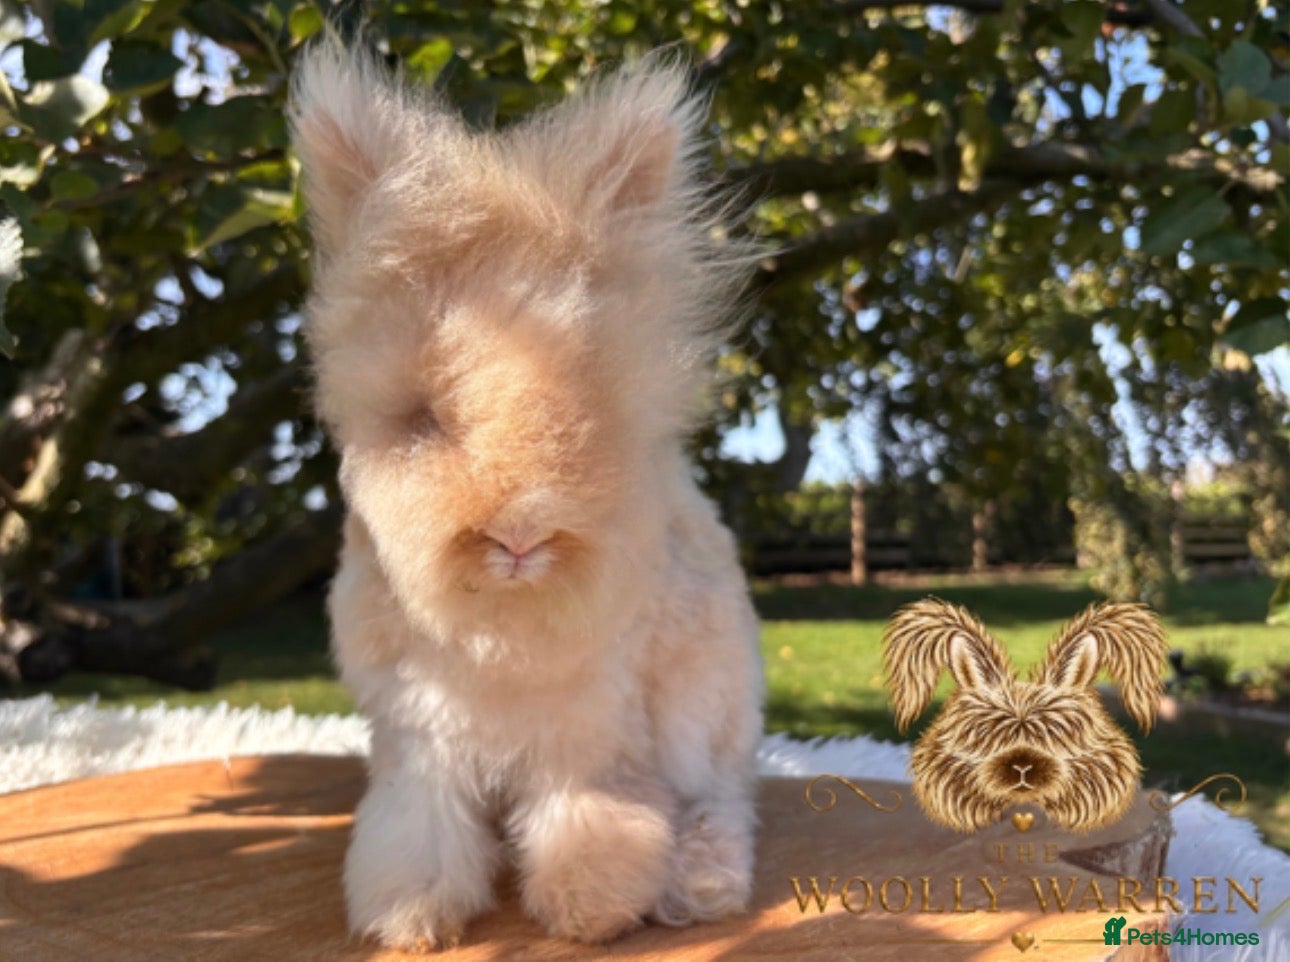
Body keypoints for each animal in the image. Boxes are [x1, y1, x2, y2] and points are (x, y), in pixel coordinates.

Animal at [289, 38, 764, 952]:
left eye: (591, 408)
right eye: (423, 416)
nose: (517, 535)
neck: (502, 625)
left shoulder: (596, 738)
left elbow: (595, 817)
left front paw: (591, 910)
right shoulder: (420, 738)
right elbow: (417, 829)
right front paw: (411, 919)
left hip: (709, 714)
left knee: (720, 803)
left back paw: (699, 889)